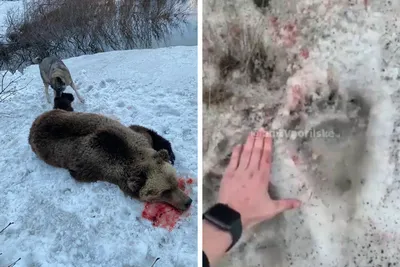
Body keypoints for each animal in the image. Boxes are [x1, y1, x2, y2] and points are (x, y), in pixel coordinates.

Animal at [28, 109, 192, 211]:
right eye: (164, 192)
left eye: (174, 182)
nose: (188, 202)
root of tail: (34, 123)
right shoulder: (93, 168)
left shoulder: (136, 138)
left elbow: (146, 131)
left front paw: (169, 152)